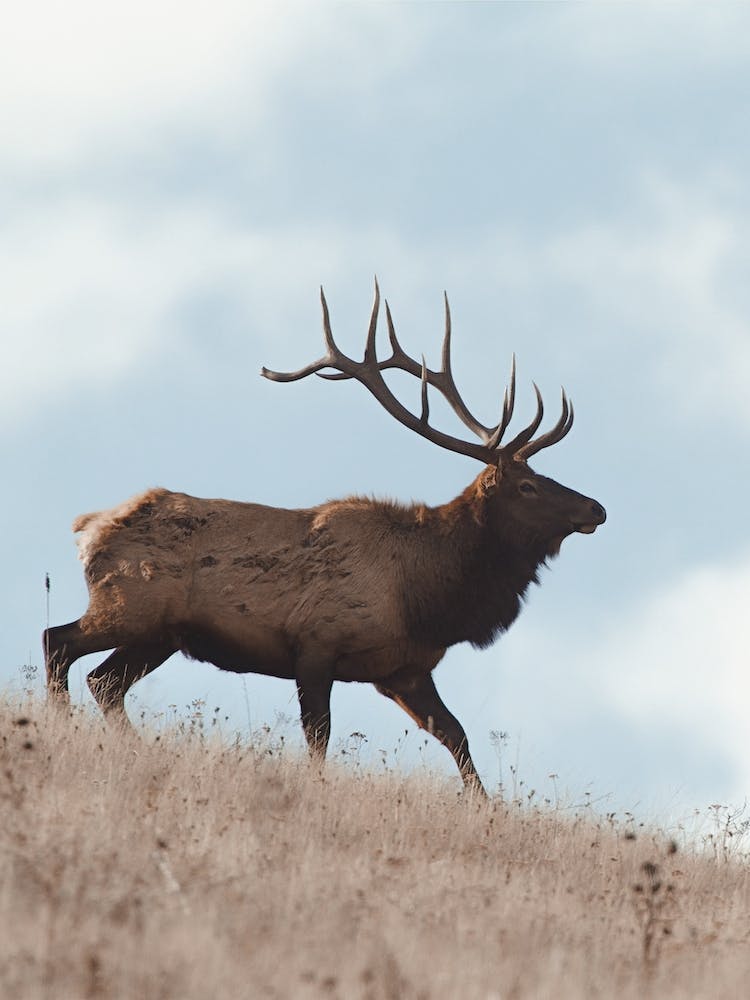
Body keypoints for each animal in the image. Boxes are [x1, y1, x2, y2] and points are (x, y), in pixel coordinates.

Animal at [44, 282, 605, 795]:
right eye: (528, 486)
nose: (596, 508)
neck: (425, 596)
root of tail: (87, 528)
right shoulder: (316, 645)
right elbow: (320, 738)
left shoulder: (404, 670)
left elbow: (457, 735)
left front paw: (486, 806)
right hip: (127, 606)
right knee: (59, 643)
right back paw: (61, 726)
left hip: (158, 634)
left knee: (104, 682)